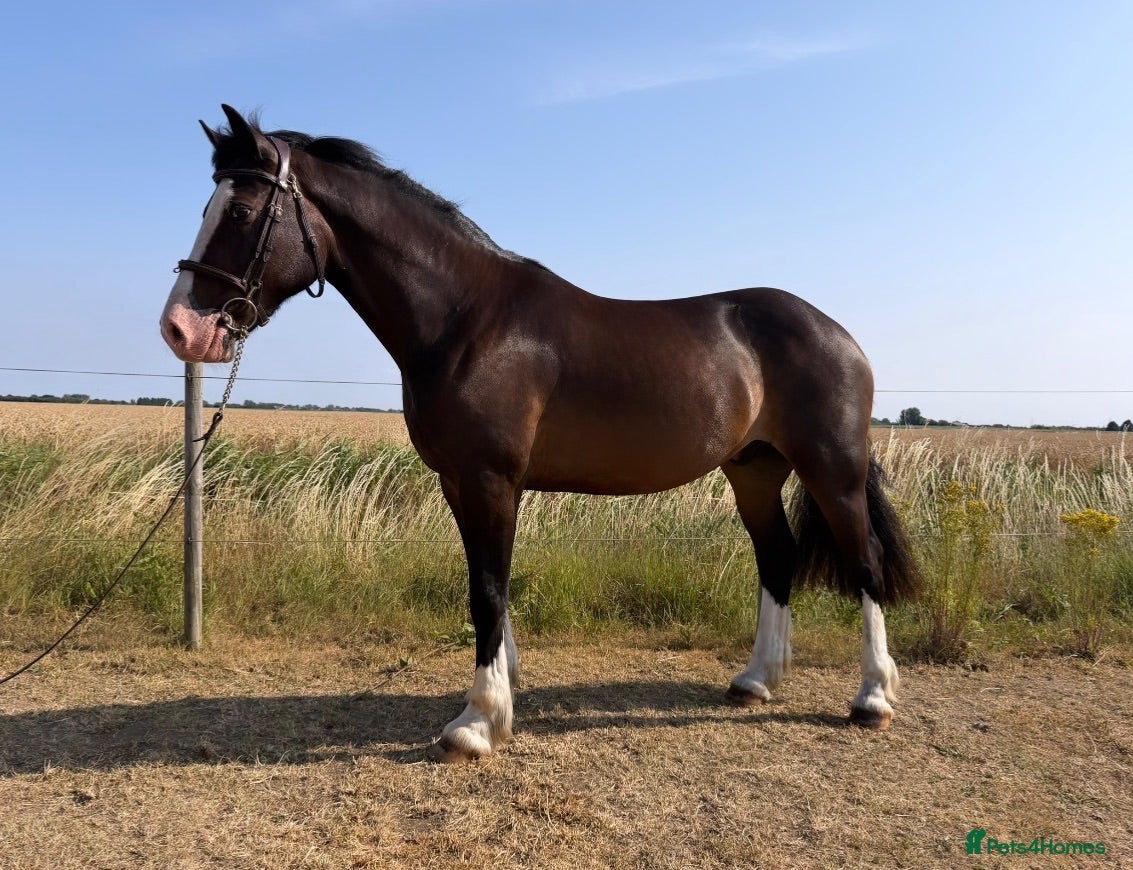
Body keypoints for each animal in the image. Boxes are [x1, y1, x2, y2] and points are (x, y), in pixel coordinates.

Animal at [161, 105, 922, 763]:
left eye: (240, 210)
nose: (181, 329)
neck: (466, 318)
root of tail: (835, 331)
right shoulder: (460, 482)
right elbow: (487, 582)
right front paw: (502, 692)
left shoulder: (489, 479)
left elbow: (487, 591)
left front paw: (477, 722)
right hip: (754, 469)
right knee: (777, 557)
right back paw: (756, 680)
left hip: (832, 470)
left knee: (862, 563)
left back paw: (872, 698)